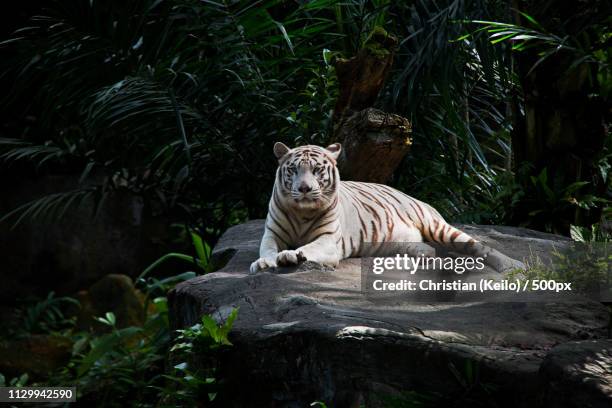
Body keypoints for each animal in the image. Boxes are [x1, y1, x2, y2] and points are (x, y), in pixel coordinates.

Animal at [250, 143, 524, 274]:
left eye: (317, 170)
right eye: (294, 170)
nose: (305, 188)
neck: (302, 212)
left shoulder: (328, 241)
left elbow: (308, 248)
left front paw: (291, 255)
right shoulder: (272, 234)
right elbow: (267, 249)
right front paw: (263, 263)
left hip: (438, 227)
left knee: (480, 247)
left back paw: (514, 266)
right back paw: (425, 257)